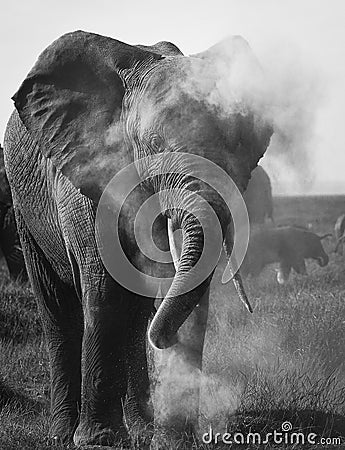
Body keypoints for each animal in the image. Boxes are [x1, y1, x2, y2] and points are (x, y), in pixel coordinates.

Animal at [2, 30, 272, 446]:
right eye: (156, 144)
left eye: (241, 146)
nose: (163, 343)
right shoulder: (86, 176)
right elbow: (105, 288)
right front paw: (97, 441)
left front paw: (173, 441)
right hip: (24, 207)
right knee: (58, 308)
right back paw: (63, 434)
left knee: (136, 311)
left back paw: (141, 427)